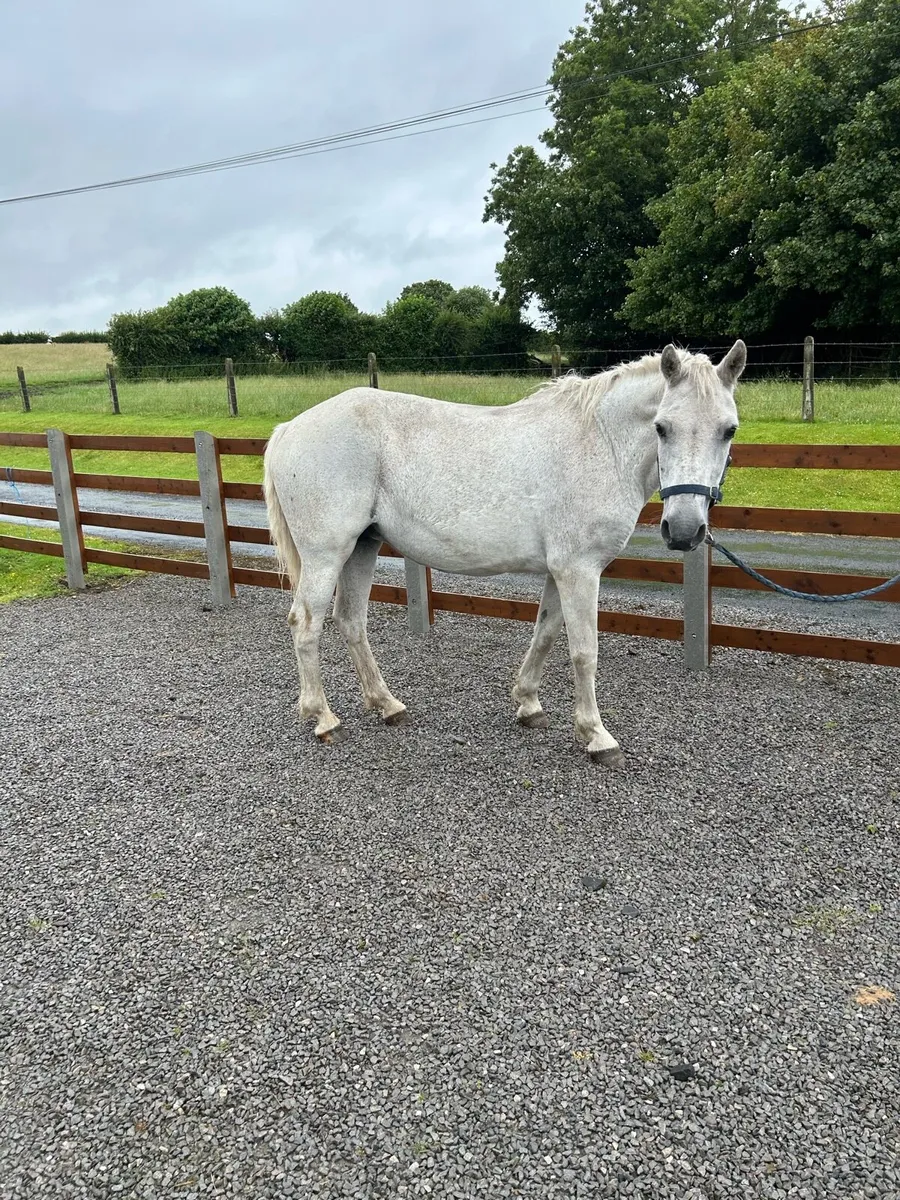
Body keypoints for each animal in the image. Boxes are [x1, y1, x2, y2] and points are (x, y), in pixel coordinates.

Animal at [263, 341, 745, 766]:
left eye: (729, 430)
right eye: (662, 427)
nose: (684, 530)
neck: (600, 442)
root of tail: (288, 429)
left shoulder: (560, 571)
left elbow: (545, 633)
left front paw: (528, 704)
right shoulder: (580, 570)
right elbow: (584, 651)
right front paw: (596, 736)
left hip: (363, 546)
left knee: (350, 621)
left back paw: (386, 704)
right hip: (327, 554)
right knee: (306, 623)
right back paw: (323, 717)